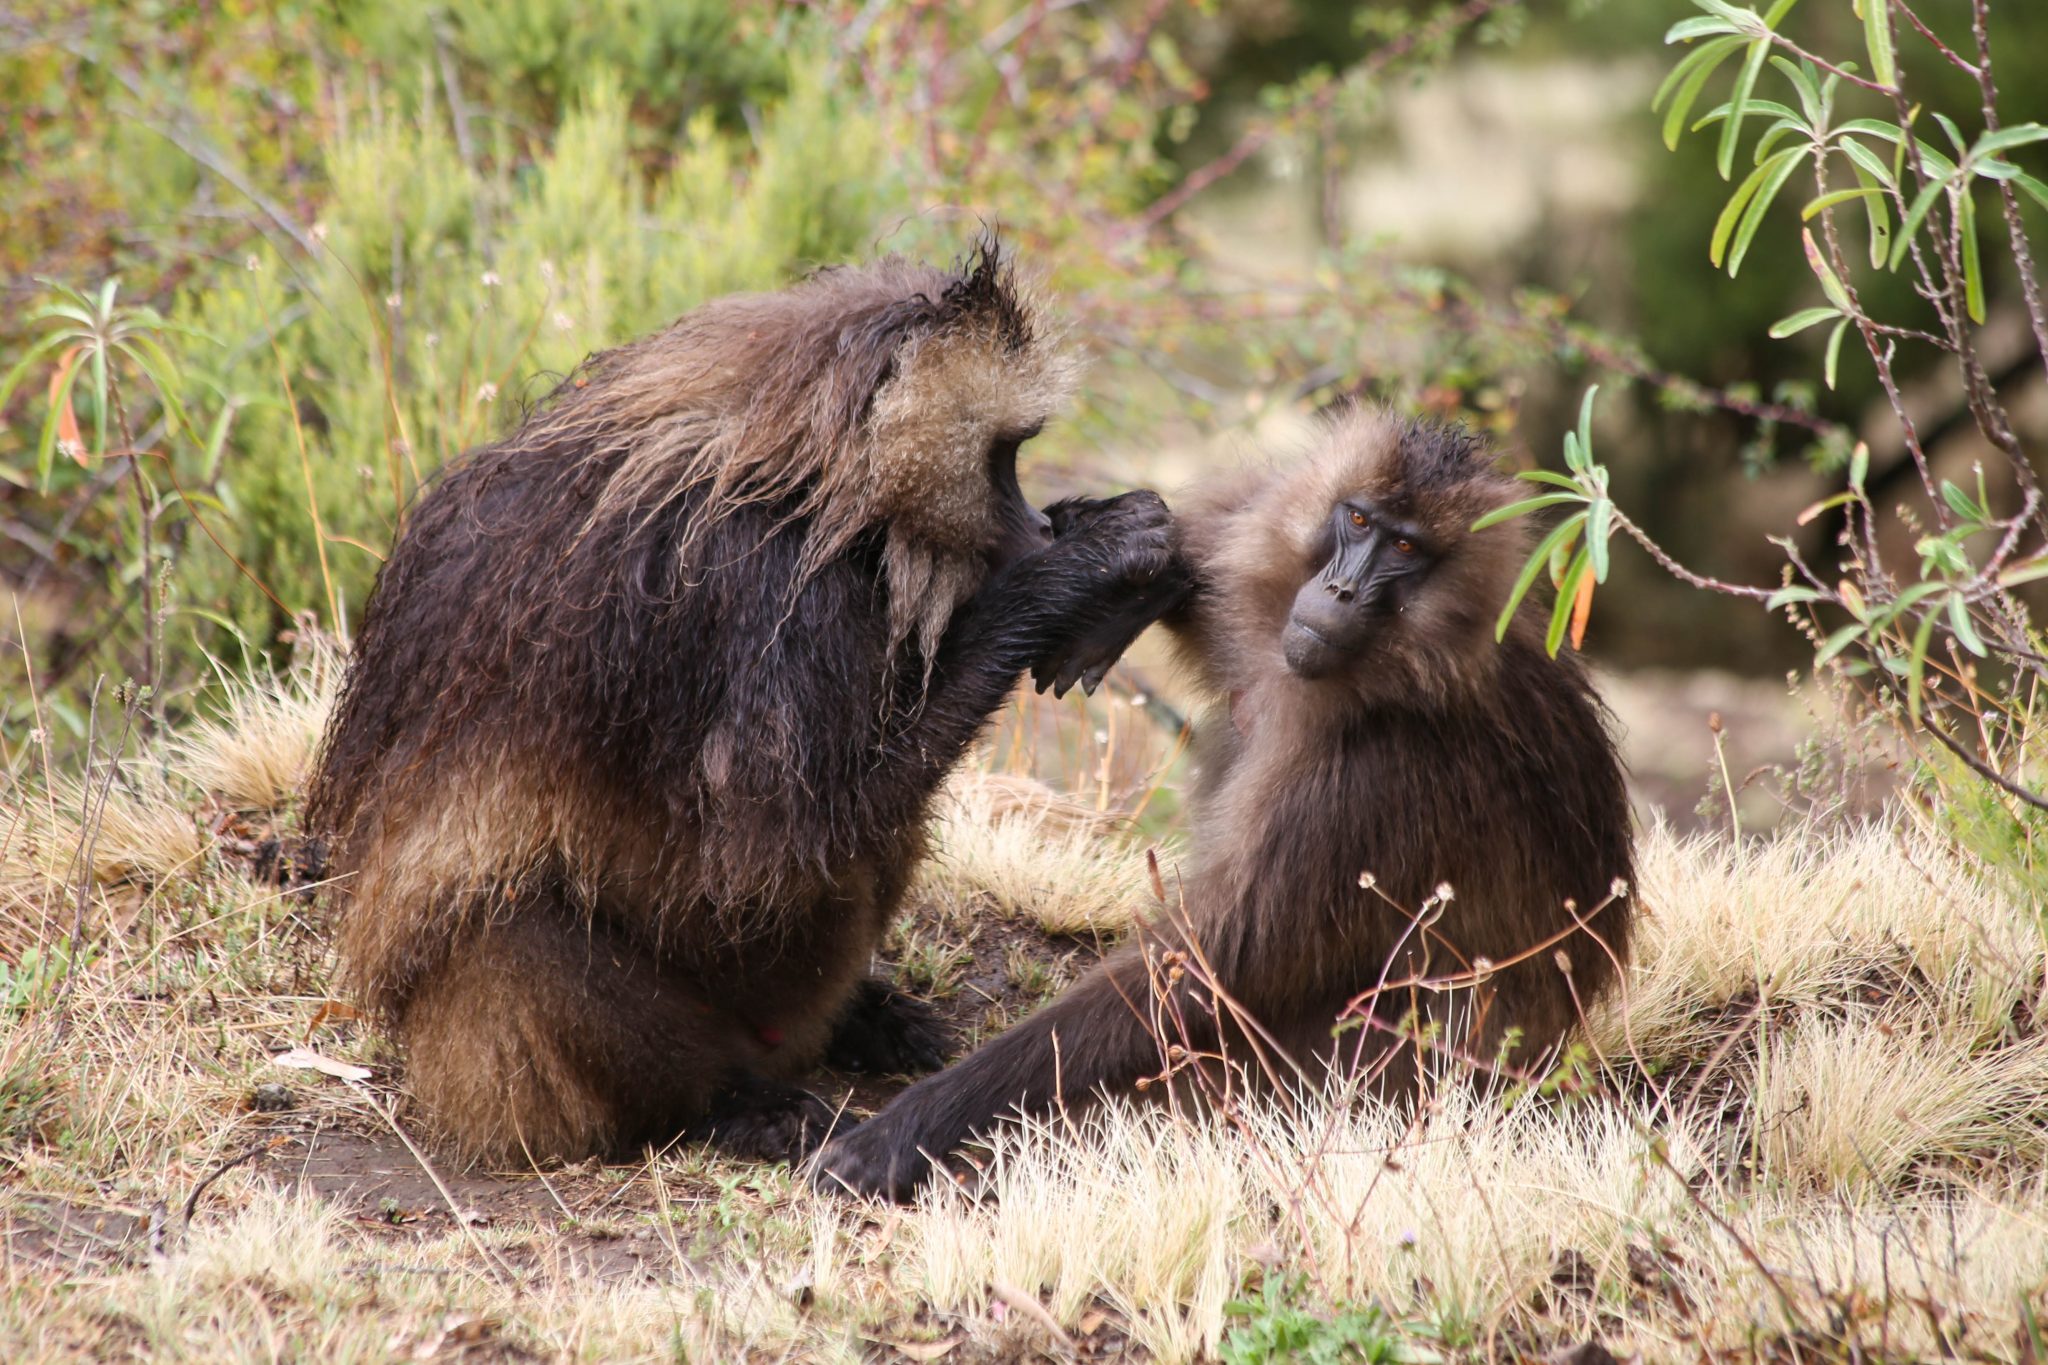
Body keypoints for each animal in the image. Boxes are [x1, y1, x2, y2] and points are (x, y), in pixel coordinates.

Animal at [302, 240, 1183, 1167]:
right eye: (1004, 458)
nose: (1041, 530)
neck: (791, 479)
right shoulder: (751, 582)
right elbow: (769, 850)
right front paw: (1076, 572)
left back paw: (859, 1020)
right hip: (509, 1054)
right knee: (512, 923)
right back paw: (720, 1105)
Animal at [813, 408, 1636, 1200]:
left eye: (1406, 548)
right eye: (1359, 521)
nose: (1338, 593)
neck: (1409, 667)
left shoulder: (1367, 777)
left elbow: (1205, 967)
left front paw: (912, 1126)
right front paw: (1134, 565)